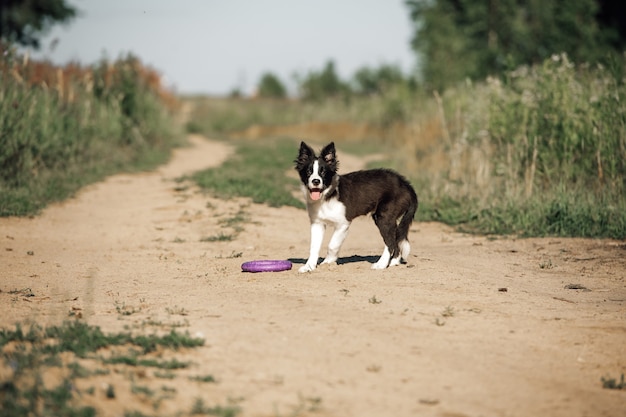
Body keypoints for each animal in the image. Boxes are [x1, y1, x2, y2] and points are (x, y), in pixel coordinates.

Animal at [294, 141, 420, 272]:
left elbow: (332, 245)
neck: (327, 195)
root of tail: (406, 185)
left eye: (323, 172)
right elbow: (314, 247)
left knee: (390, 243)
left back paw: (381, 264)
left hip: (383, 217)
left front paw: (328, 262)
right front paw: (309, 266)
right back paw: (393, 262)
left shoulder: (343, 224)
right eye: (308, 172)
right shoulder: (317, 223)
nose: (316, 181)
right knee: (395, 240)